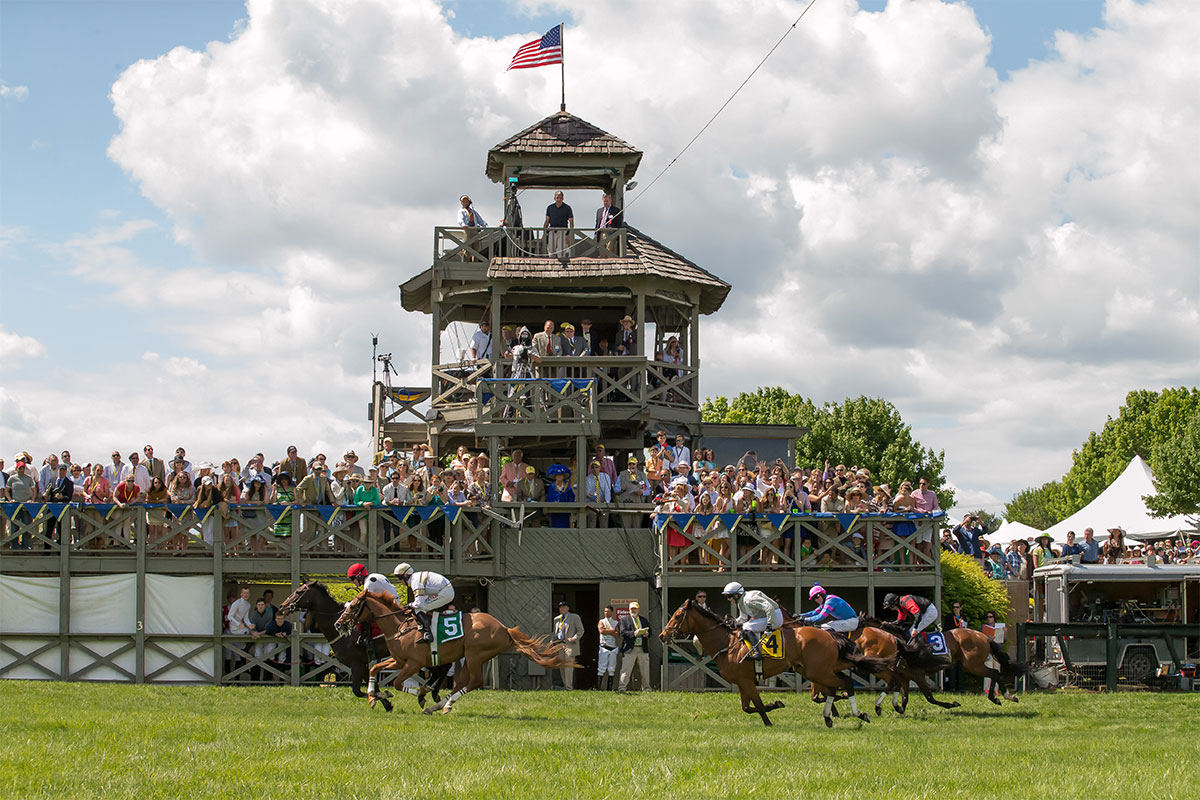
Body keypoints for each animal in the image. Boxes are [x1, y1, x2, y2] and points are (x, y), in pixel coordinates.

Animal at [336, 592, 573, 714]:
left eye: (353, 606)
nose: (339, 623)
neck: (399, 626)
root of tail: (503, 628)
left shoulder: (412, 663)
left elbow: (396, 683)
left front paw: (417, 693)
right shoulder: (398, 660)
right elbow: (374, 669)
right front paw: (372, 696)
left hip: (476, 654)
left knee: (474, 682)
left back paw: (444, 704)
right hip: (468, 657)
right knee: (461, 682)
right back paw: (438, 706)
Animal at [657, 599, 892, 724]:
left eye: (676, 616)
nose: (662, 635)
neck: (727, 643)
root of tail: (829, 634)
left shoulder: (747, 680)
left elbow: (758, 705)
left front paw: (769, 720)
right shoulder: (742, 682)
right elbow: (747, 708)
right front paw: (775, 705)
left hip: (818, 672)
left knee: (846, 683)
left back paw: (860, 713)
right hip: (815, 671)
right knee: (839, 685)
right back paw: (833, 716)